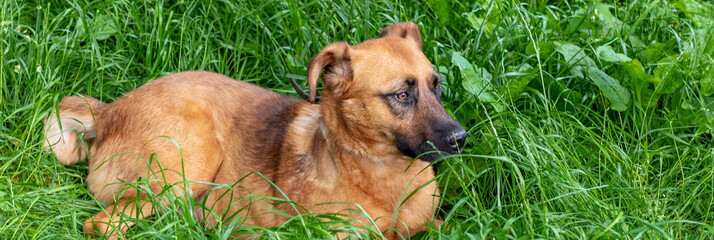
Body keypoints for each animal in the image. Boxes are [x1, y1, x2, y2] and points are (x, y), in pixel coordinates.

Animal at [46, 21, 468, 239]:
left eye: (437, 85)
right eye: (401, 95)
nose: (460, 139)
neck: (384, 175)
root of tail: (106, 112)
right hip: (191, 157)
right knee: (102, 225)